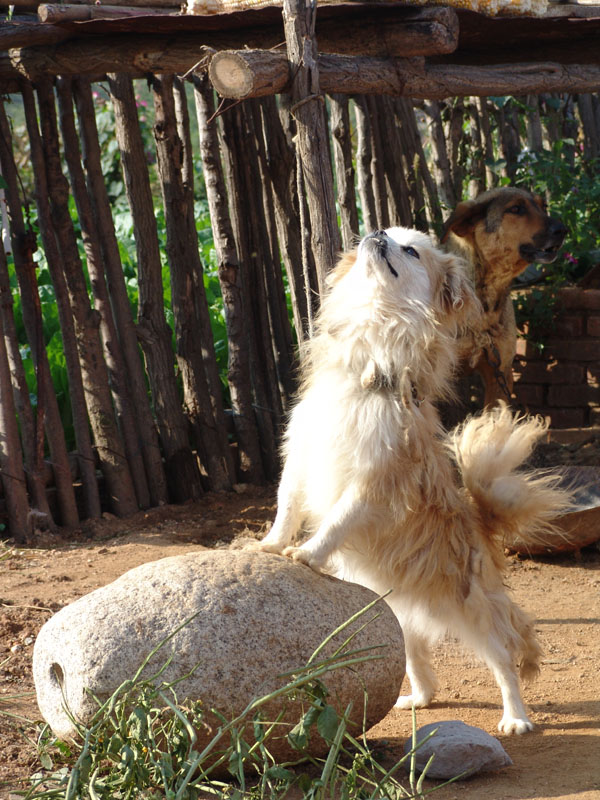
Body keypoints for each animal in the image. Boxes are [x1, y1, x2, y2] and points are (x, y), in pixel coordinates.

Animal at [260, 228, 568, 736]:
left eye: (410, 251)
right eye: (382, 232)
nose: (376, 234)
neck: (370, 362)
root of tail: (482, 524)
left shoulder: (374, 481)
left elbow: (338, 520)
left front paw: (308, 554)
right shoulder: (300, 455)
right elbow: (287, 507)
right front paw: (268, 545)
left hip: (474, 613)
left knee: (504, 660)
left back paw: (515, 718)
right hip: (398, 615)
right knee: (417, 659)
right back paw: (417, 699)